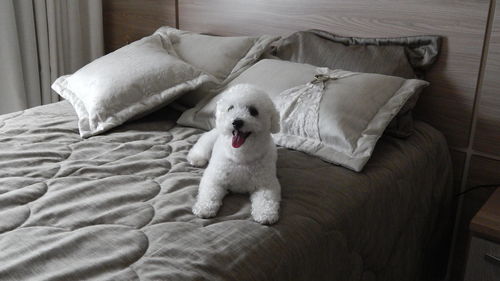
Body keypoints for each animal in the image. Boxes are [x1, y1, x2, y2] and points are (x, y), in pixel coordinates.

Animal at [188, 82, 282, 223]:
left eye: (253, 111)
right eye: (230, 108)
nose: (236, 122)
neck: (241, 155)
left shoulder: (266, 184)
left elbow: (267, 199)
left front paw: (265, 214)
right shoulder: (215, 178)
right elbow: (209, 193)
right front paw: (204, 207)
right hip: (210, 140)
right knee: (201, 147)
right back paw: (196, 158)